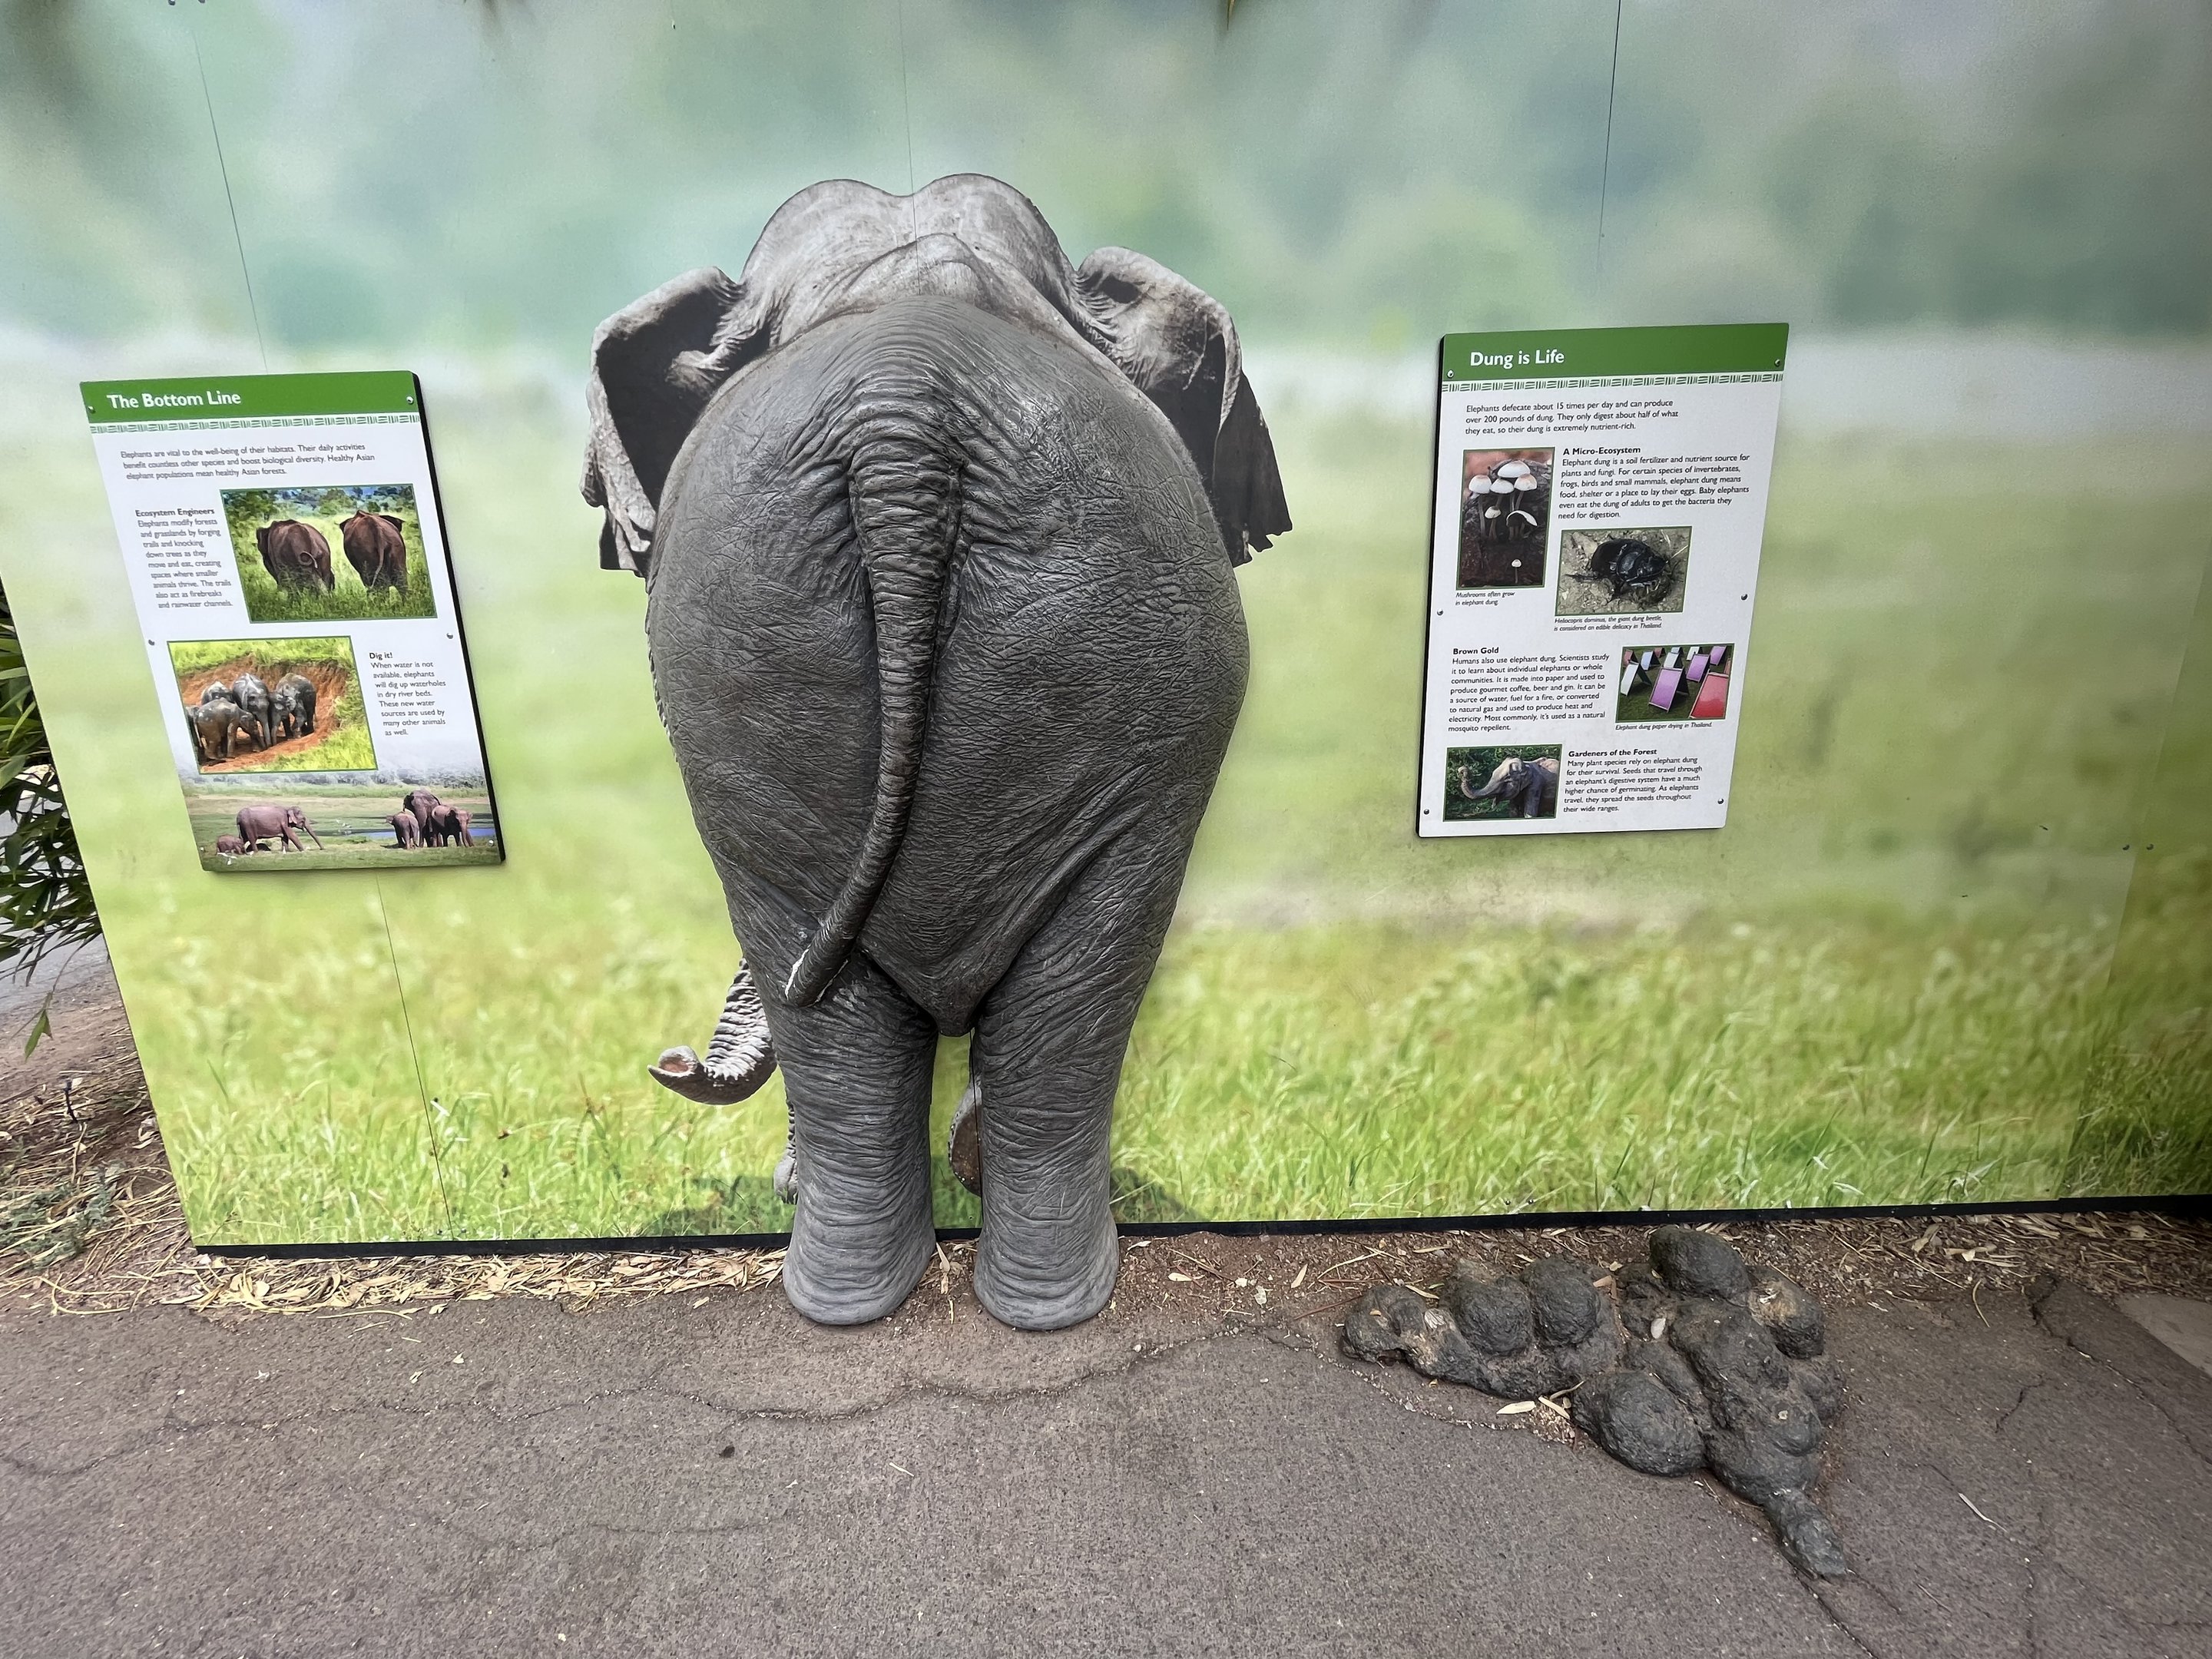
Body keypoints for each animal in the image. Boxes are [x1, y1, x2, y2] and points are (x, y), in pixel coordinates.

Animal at [1459, 753, 1560, 819]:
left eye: (1507, 778)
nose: (1462, 771)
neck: (1526, 765)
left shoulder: (1536, 785)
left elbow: (1530, 813)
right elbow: (1513, 812)